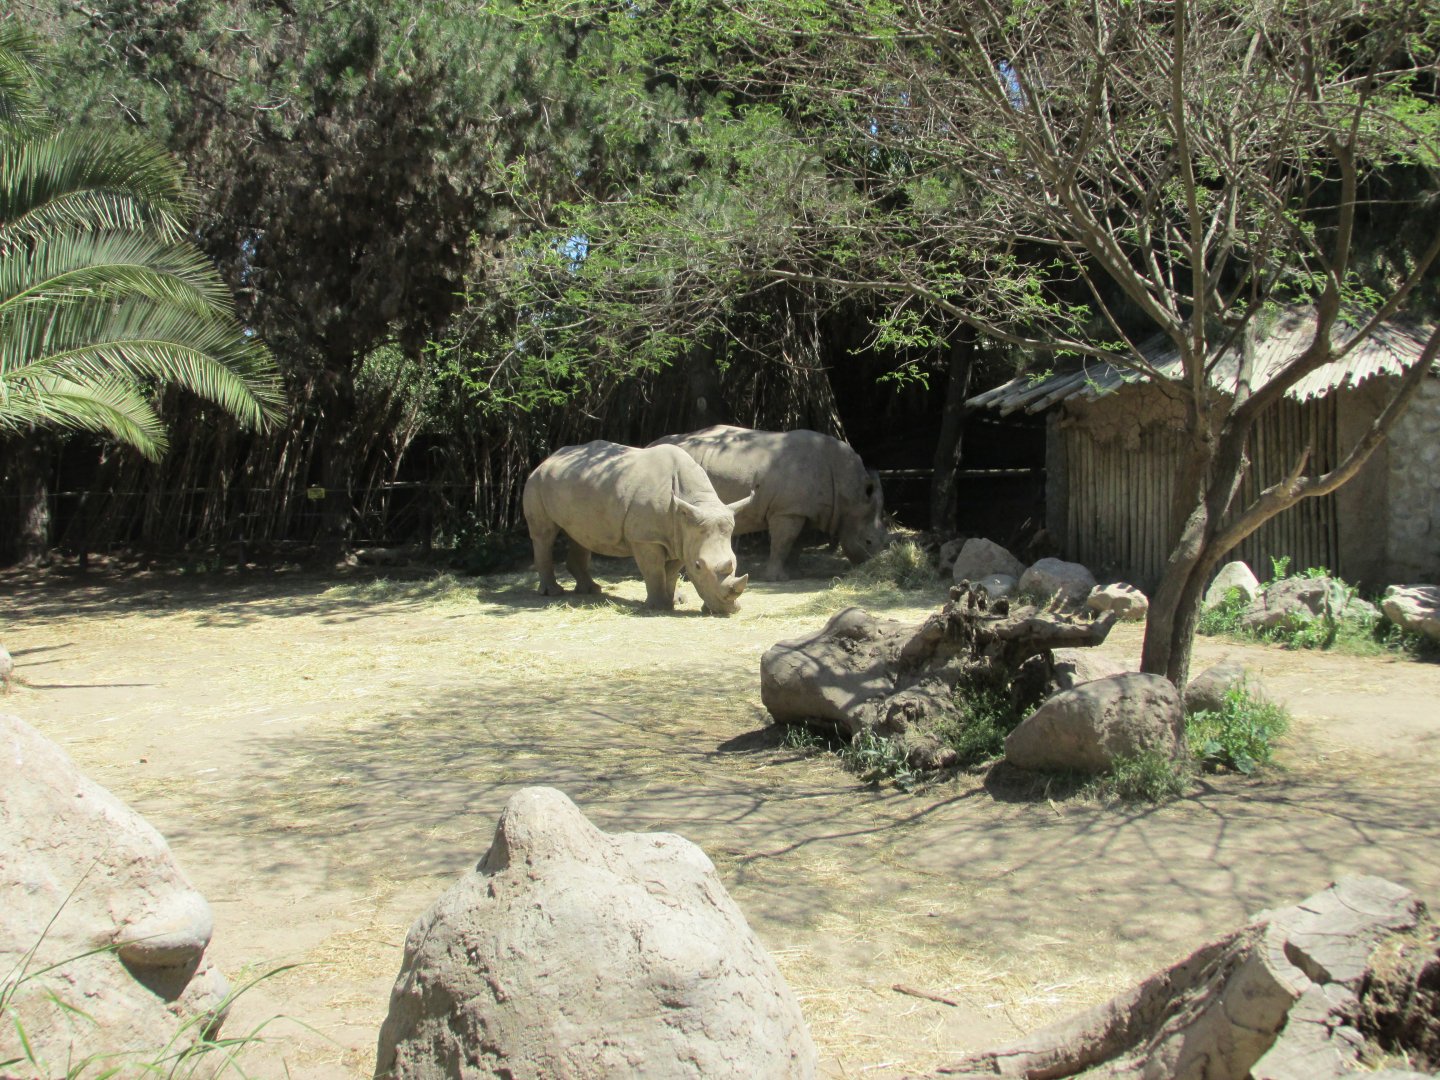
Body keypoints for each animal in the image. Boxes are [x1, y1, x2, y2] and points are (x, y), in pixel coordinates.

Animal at [523, 441, 753, 614]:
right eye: (698, 566)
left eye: (735, 561)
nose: (729, 610)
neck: (695, 503)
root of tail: (548, 459)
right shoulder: (645, 537)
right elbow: (654, 570)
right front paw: (659, 607)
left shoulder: (682, 536)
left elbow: (671, 572)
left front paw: (673, 601)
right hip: (537, 481)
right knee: (544, 535)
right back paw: (553, 593)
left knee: (580, 534)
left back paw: (591, 590)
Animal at [649, 425, 888, 580]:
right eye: (868, 542)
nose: (873, 567)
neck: (848, 492)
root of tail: (651, 443)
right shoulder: (787, 511)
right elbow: (783, 541)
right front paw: (776, 578)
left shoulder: (801, 510)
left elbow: (796, 543)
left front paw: (793, 574)